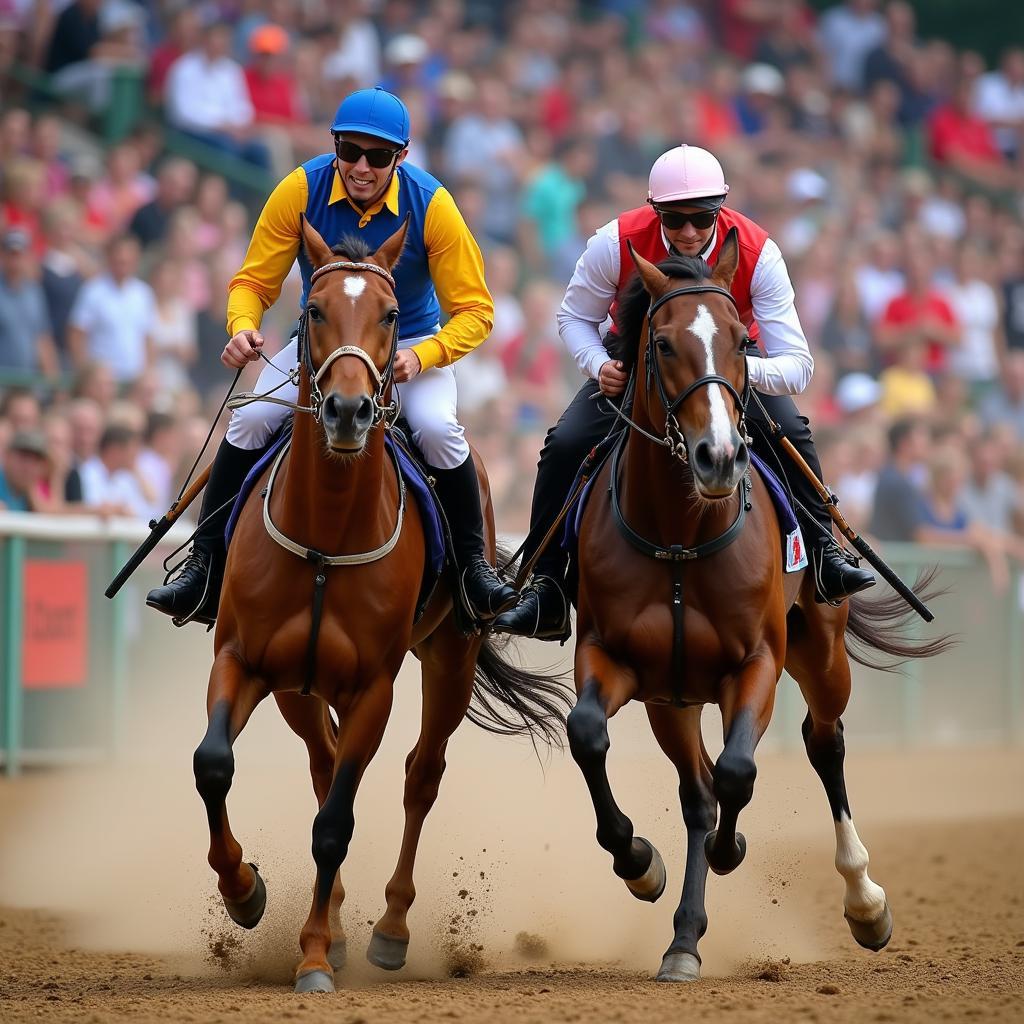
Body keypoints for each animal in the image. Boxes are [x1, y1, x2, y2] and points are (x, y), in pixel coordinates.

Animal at [194, 216, 573, 991]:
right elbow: (214, 764)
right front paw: (245, 893)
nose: (347, 409)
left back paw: (390, 929)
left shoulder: (375, 686)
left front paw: (313, 955)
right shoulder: (245, 659)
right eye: (312, 309)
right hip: (299, 687)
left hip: (450, 658)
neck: (325, 535)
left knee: (419, 775)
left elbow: (335, 825)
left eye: (392, 315)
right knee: (322, 762)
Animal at [565, 232, 946, 983]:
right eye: (661, 345)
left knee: (823, 743)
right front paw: (639, 861)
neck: (681, 536)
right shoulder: (614, 657)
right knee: (697, 793)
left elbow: (740, 771)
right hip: (672, 699)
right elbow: (588, 733)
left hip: (820, 651)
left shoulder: (757, 663)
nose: (719, 456)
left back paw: (864, 901)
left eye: (742, 340)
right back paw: (683, 938)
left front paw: (731, 850)